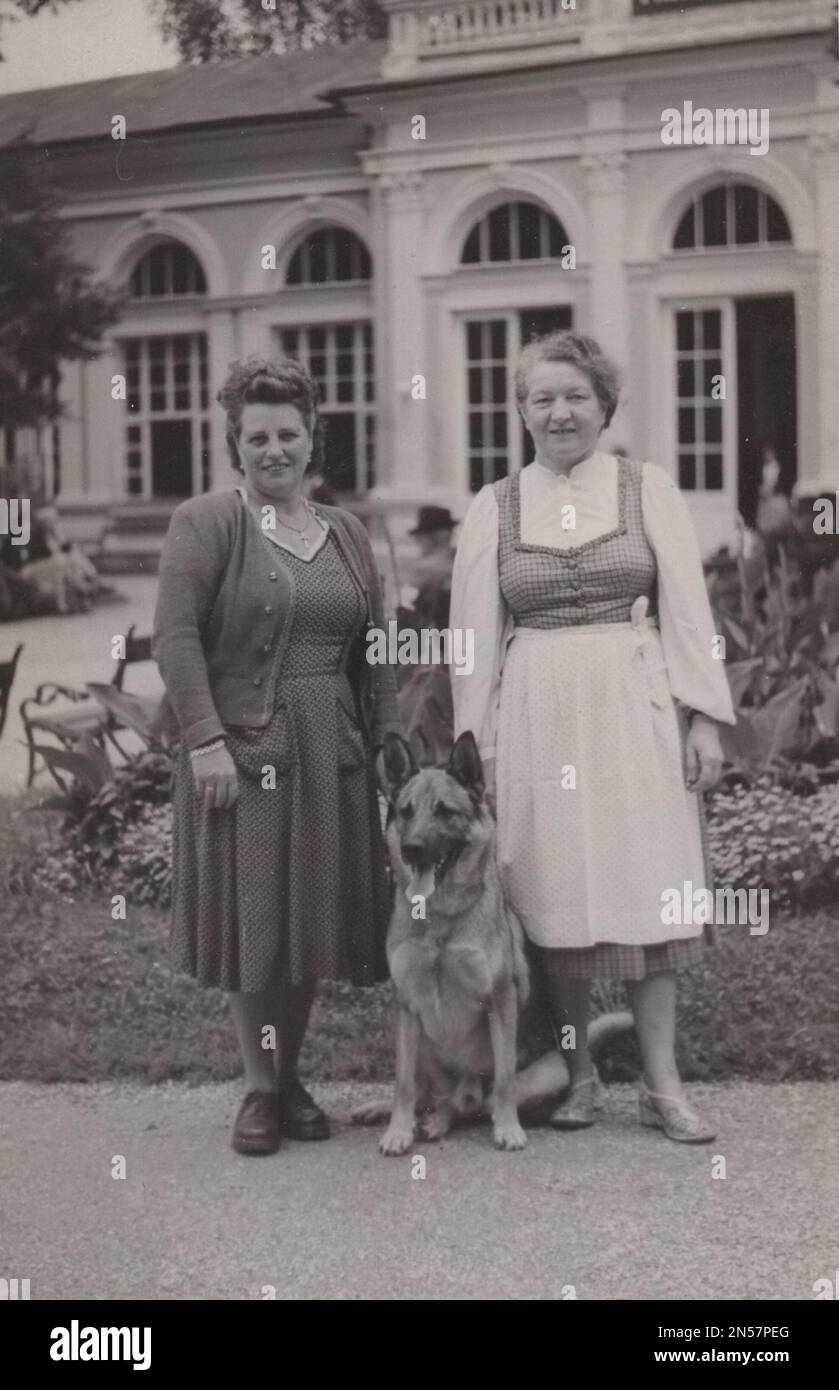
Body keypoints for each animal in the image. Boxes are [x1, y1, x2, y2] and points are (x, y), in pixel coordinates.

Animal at [358, 733, 633, 1156]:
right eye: (405, 812)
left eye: (444, 811)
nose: (412, 848)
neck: (442, 918)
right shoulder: (406, 1004)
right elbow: (402, 1084)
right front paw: (397, 1131)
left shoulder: (499, 998)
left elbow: (503, 1079)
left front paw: (508, 1129)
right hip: (412, 1039)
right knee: (429, 1094)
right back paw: (396, 1113)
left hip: (549, 1069)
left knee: (469, 1103)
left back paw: (441, 1121)